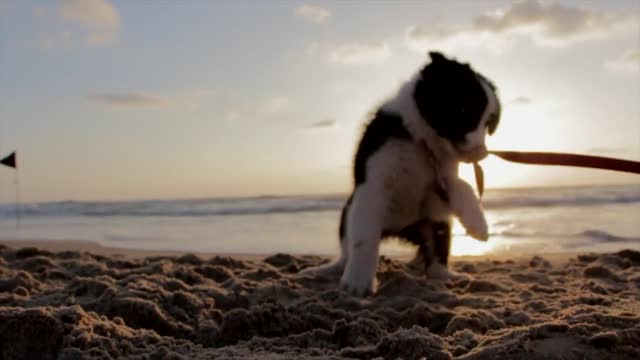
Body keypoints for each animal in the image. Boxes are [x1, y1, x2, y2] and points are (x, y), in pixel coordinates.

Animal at [302, 52, 502, 296]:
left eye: (488, 124)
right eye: (463, 111)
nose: (481, 153)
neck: (418, 139)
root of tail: (399, 229)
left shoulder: (442, 177)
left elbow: (463, 185)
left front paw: (479, 226)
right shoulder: (373, 185)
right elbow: (363, 239)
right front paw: (358, 283)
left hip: (432, 222)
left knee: (436, 253)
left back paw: (447, 276)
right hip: (349, 210)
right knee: (346, 251)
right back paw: (326, 270)